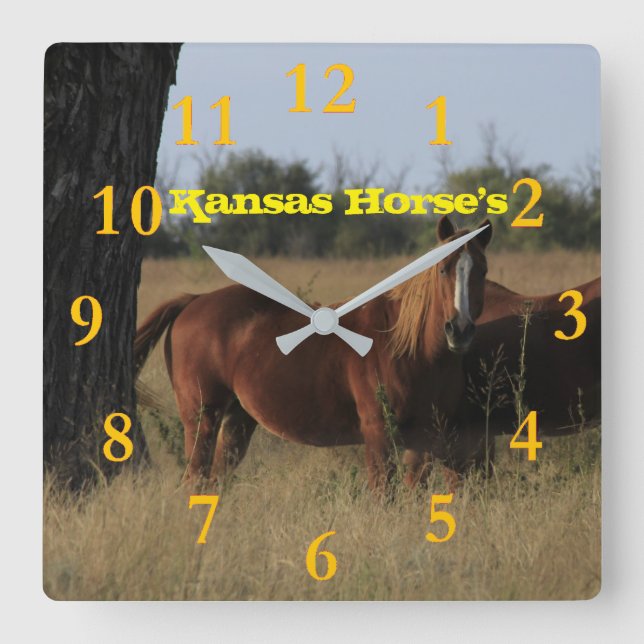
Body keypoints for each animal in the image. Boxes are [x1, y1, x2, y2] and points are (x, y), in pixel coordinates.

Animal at [134, 216, 493, 493]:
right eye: (443, 269)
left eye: (482, 271)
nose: (459, 329)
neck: (406, 347)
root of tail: (193, 301)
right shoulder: (378, 433)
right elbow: (383, 493)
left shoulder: (424, 439)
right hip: (202, 416)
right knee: (194, 479)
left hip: (237, 419)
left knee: (214, 481)